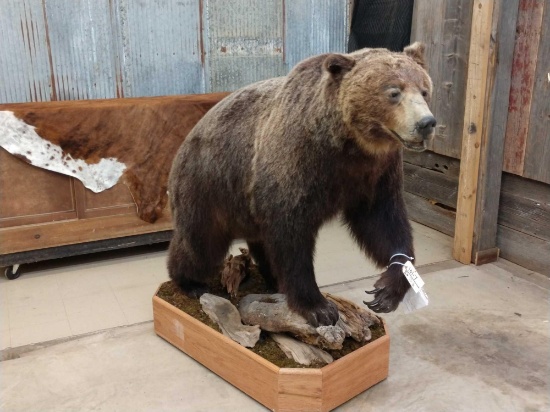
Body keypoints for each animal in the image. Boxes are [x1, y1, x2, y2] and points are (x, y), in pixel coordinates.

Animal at [167, 41, 436, 326]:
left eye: (424, 90)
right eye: (393, 92)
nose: (426, 123)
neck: (350, 146)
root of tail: (188, 138)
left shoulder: (376, 175)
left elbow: (384, 224)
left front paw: (387, 289)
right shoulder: (298, 165)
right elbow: (291, 239)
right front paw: (319, 307)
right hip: (207, 185)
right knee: (200, 243)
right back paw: (190, 282)